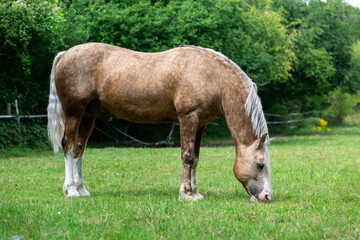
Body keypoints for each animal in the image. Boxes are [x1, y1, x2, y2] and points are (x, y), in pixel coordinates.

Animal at [47, 42, 272, 202]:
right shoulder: (188, 117)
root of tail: (65, 54)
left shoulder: (200, 123)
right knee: (68, 146)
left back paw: (81, 189)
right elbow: (188, 157)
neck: (211, 76)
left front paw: (195, 192)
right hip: (74, 112)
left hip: (89, 114)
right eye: (260, 164)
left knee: (79, 148)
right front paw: (187, 195)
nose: (267, 196)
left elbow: (196, 158)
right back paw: (71, 190)